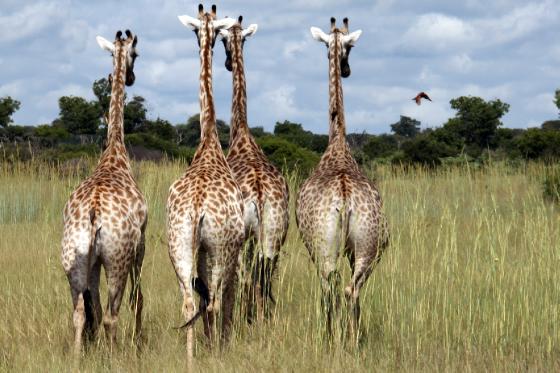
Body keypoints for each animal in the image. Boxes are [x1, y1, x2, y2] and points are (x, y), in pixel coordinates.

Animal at [60, 30, 147, 354]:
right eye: (136, 54)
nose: (130, 78)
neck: (114, 153)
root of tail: (94, 213)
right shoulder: (141, 242)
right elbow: (138, 298)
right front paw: (138, 340)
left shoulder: (93, 261)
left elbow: (92, 309)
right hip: (117, 259)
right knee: (112, 315)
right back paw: (115, 355)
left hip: (74, 261)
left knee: (80, 313)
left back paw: (77, 357)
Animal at [298, 17, 390, 338]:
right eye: (347, 48)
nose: (347, 70)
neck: (337, 142)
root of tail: (345, 198)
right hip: (368, 247)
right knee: (352, 289)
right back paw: (354, 337)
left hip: (325, 247)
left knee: (331, 287)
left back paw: (332, 335)